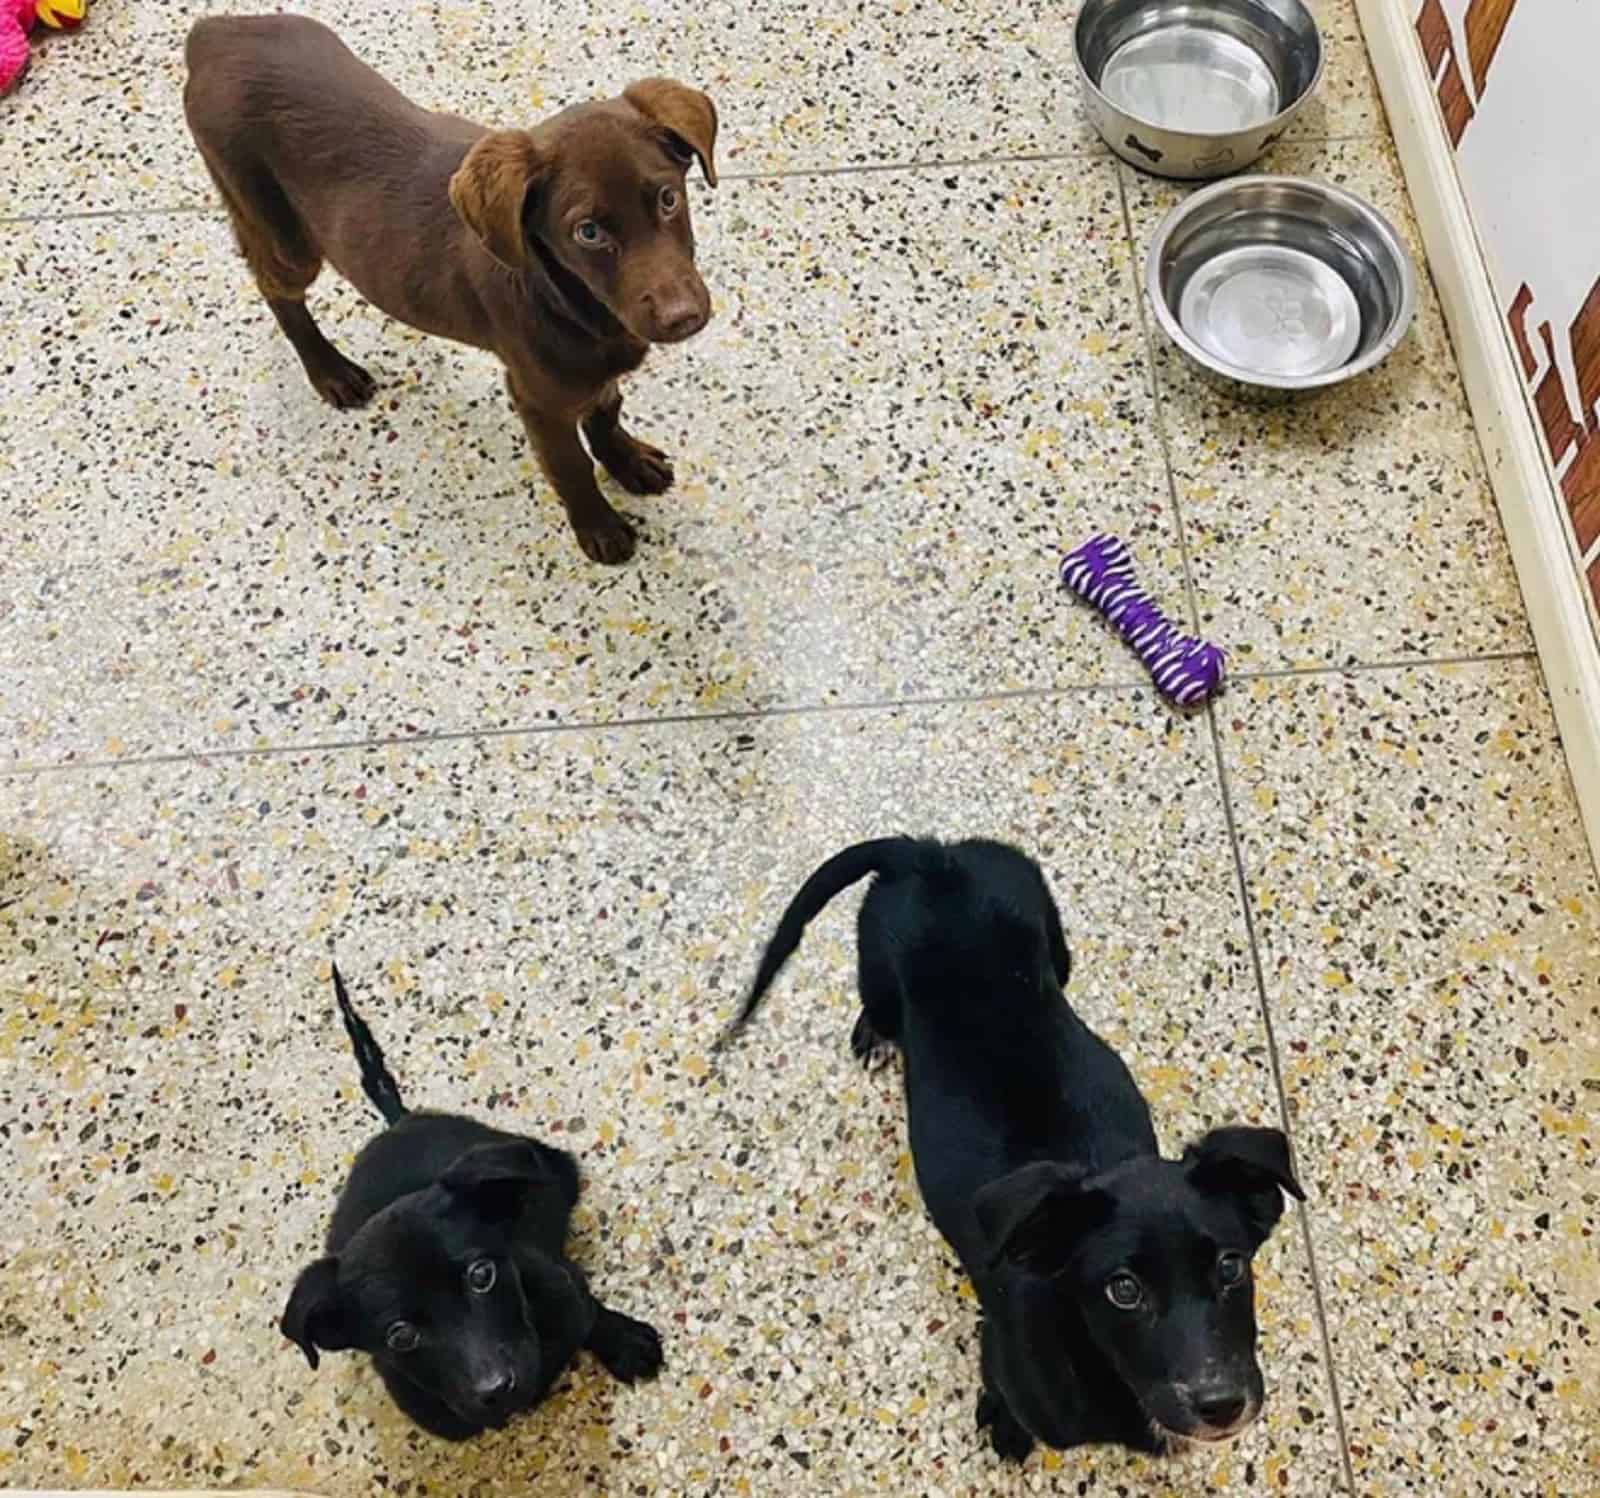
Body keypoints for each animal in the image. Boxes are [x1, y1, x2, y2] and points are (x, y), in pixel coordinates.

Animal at [180, 13, 720, 563]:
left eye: (668, 198)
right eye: (587, 232)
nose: (683, 317)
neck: (574, 299)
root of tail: (214, 32)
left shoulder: (591, 369)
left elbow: (606, 410)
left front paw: (627, 461)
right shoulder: (538, 396)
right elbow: (571, 467)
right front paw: (599, 527)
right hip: (278, 228)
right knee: (276, 290)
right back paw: (330, 370)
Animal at [281, 966, 662, 1446]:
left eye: (483, 1276)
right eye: (400, 1336)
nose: (497, 1387)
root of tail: (400, 1121)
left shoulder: (564, 1285)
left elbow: (591, 1312)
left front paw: (625, 1341)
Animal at [726, 838, 1299, 1465]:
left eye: (1231, 1266)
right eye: (1123, 1290)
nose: (1220, 1404)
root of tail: (931, 853)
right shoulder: (1001, 1351)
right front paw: (1003, 1423)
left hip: (1052, 936)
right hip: (873, 966)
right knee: (878, 1007)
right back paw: (874, 1034)